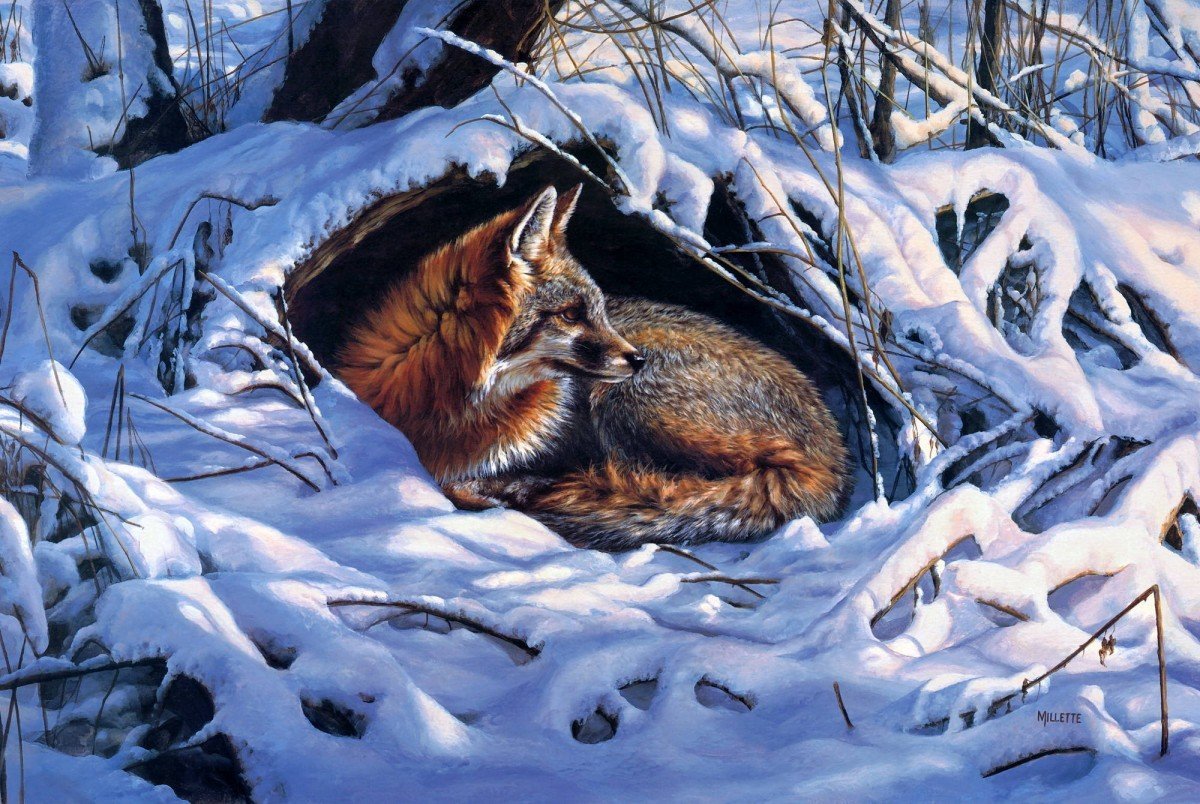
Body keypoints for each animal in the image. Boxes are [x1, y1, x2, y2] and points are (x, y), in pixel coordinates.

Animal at [338, 184, 849, 550]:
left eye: (601, 310)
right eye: (571, 314)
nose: (637, 358)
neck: (454, 408)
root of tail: (834, 456)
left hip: (624, 406)